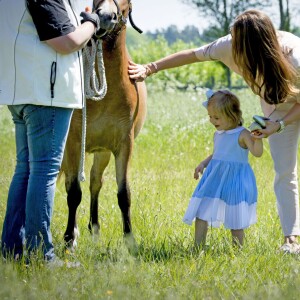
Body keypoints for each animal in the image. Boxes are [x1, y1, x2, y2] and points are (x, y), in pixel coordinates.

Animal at [61, 0, 146, 253]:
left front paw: (130, 241)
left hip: (102, 153)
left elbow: (123, 193)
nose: (106, 16)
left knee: (95, 182)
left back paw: (94, 228)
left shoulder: (123, 145)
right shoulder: (73, 143)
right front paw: (68, 239)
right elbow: (73, 193)